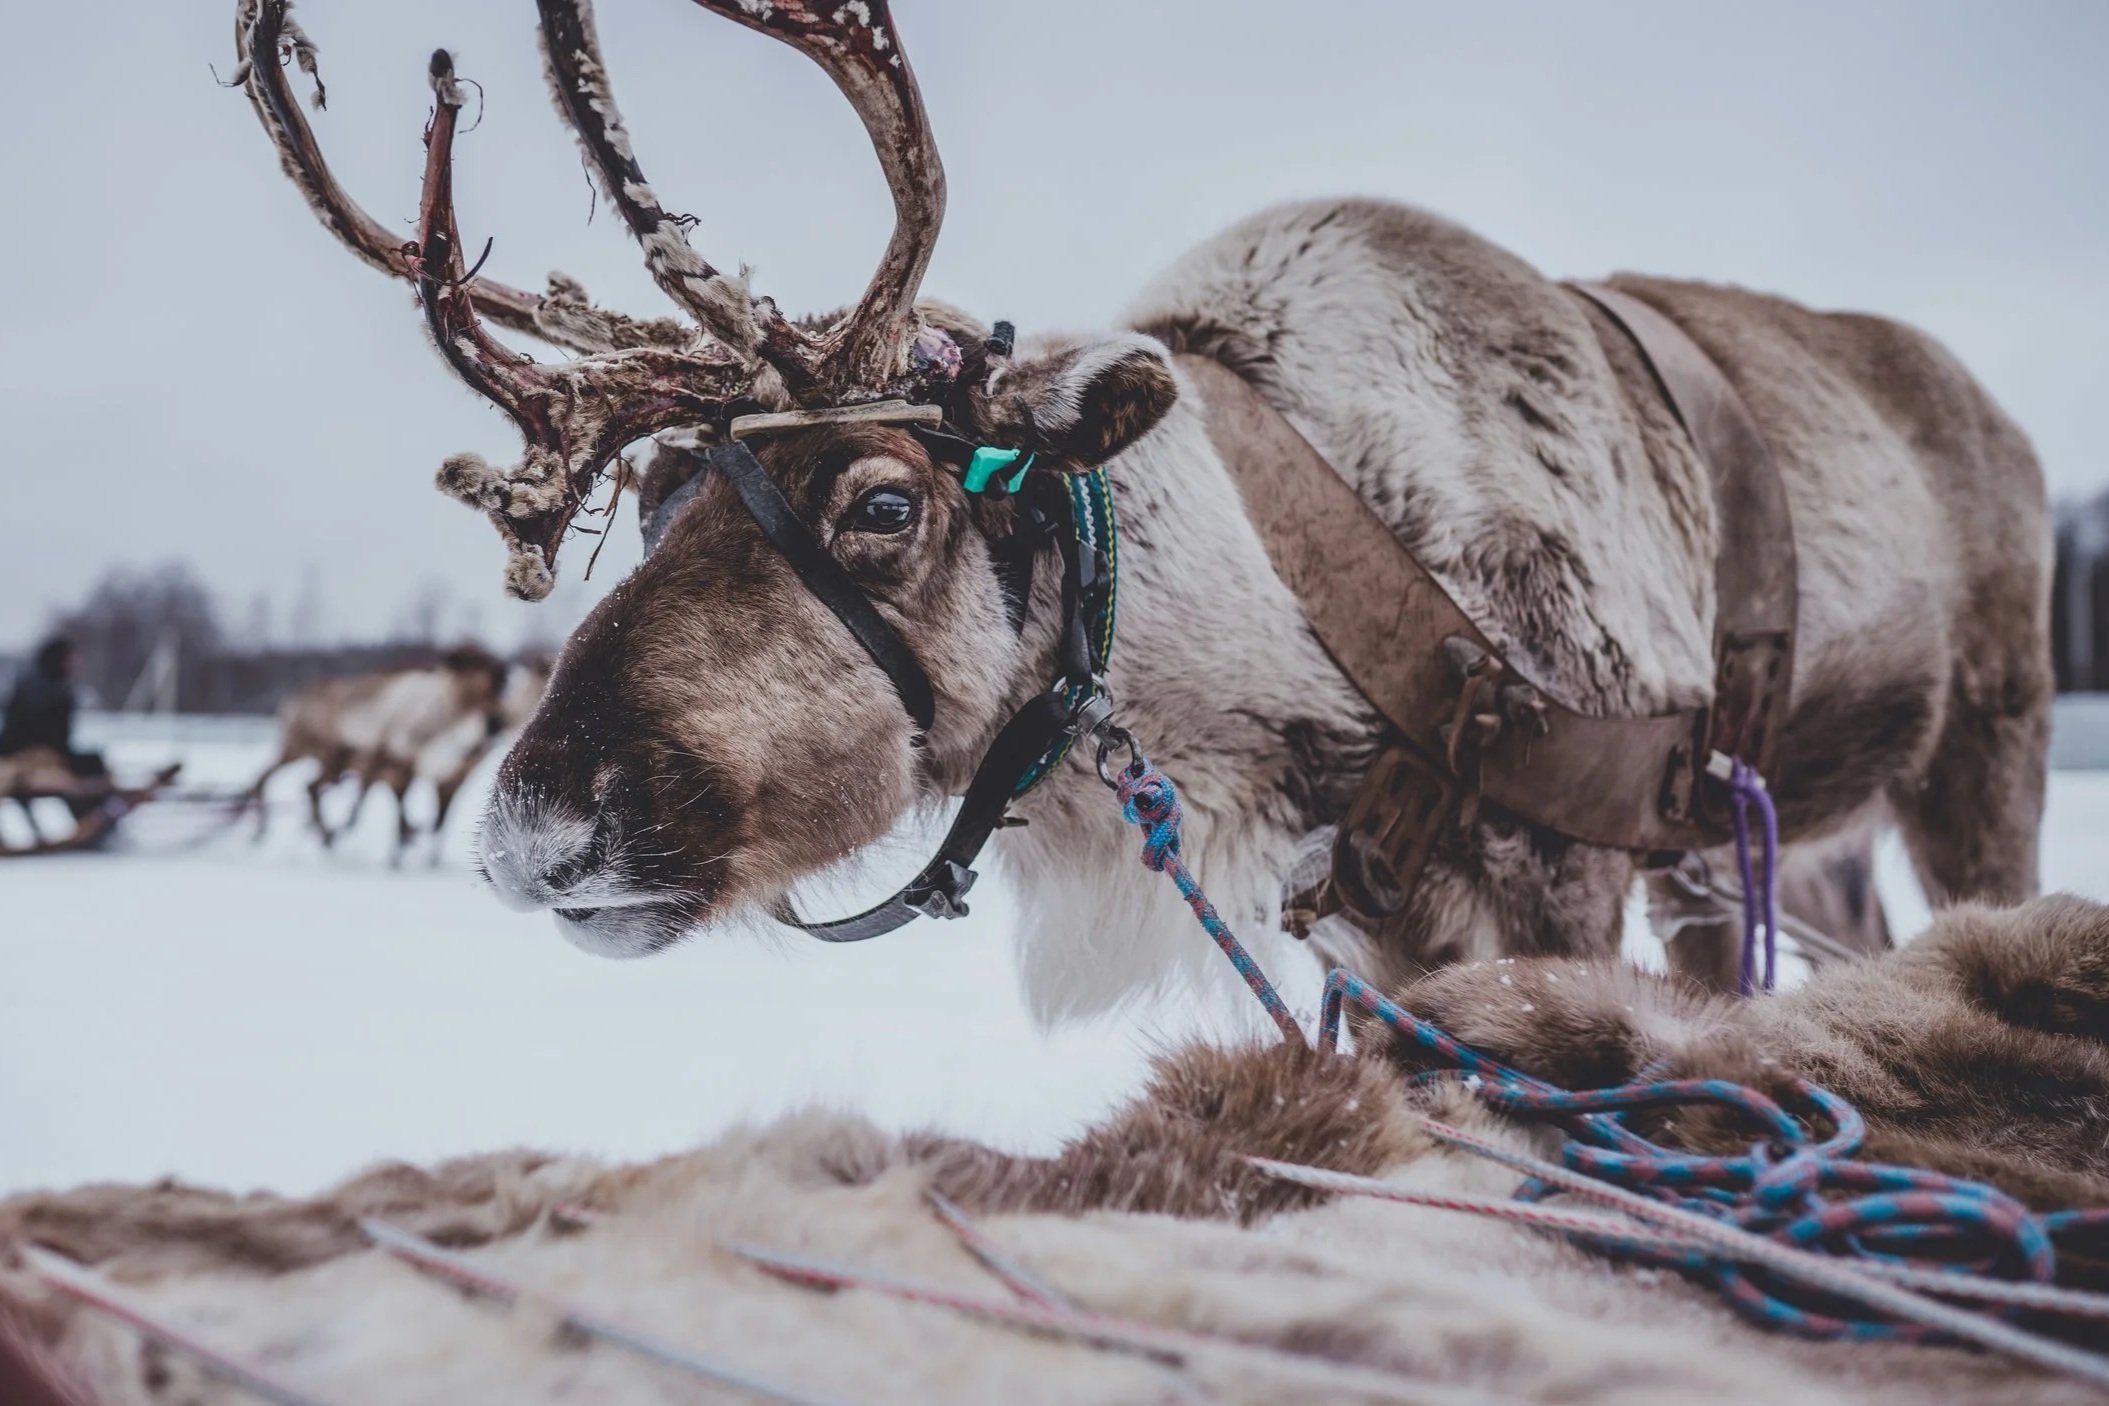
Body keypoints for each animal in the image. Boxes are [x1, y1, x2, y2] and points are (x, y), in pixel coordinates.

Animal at [230, 0, 2051, 1023]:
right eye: (660, 489)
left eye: (881, 498)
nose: (532, 829)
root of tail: (2005, 418)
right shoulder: (1371, 928)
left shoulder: (1557, 873)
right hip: (1784, 832)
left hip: (1981, 743)